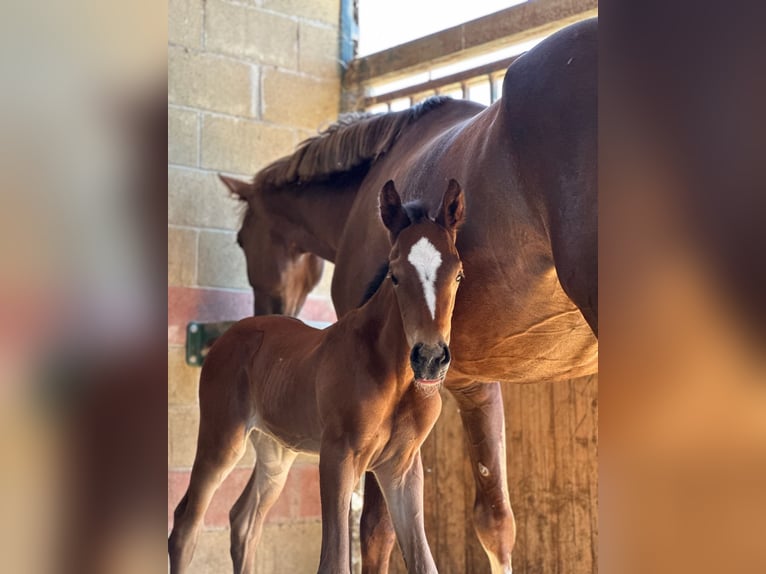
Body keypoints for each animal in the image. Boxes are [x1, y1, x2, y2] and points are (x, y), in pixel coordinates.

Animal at [169, 181, 468, 574]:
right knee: (186, 524)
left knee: (243, 521)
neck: (395, 376)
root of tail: (232, 333)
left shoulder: (402, 467)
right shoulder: (338, 456)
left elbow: (424, 563)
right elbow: (334, 561)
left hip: (275, 451)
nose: (430, 358)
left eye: (458, 275)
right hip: (222, 438)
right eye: (394, 274)